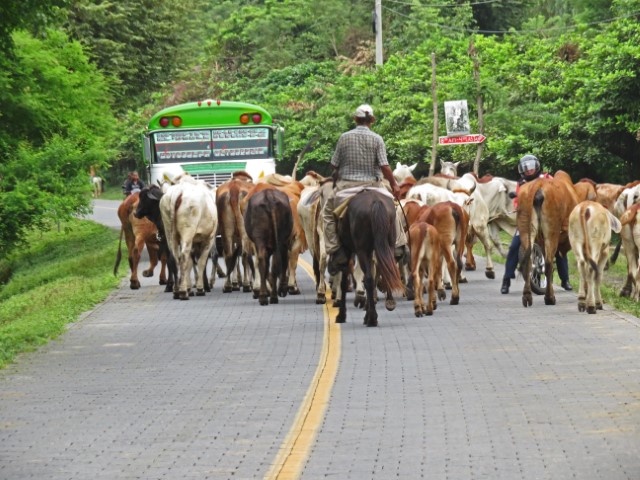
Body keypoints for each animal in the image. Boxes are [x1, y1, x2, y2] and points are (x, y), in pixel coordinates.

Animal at [332, 189, 402, 328]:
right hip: (388, 246)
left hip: (361, 250)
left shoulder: (349, 251)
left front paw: (341, 315)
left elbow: (344, 282)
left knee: (369, 279)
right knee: (385, 273)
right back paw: (386, 305)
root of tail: (375, 201)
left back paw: (372, 318)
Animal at [516, 171, 580, 306]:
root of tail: (538, 184)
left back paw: (527, 297)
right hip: (552, 232)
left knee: (529, 262)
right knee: (549, 263)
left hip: (526, 229)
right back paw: (549, 298)